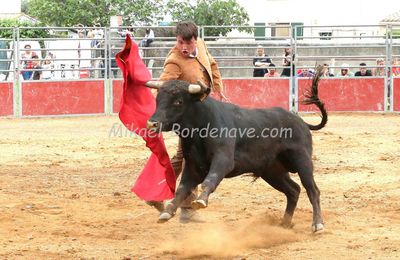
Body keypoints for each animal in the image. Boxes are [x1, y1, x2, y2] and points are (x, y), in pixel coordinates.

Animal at [145, 69, 326, 232]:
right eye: (158, 99)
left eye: (178, 101)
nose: (152, 123)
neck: (201, 126)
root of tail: (301, 121)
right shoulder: (193, 167)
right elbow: (182, 189)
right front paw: (167, 212)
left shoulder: (223, 160)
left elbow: (210, 179)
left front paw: (201, 201)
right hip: (272, 171)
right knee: (293, 190)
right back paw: (284, 223)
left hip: (302, 161)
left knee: (312, 190)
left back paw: (317, 224)